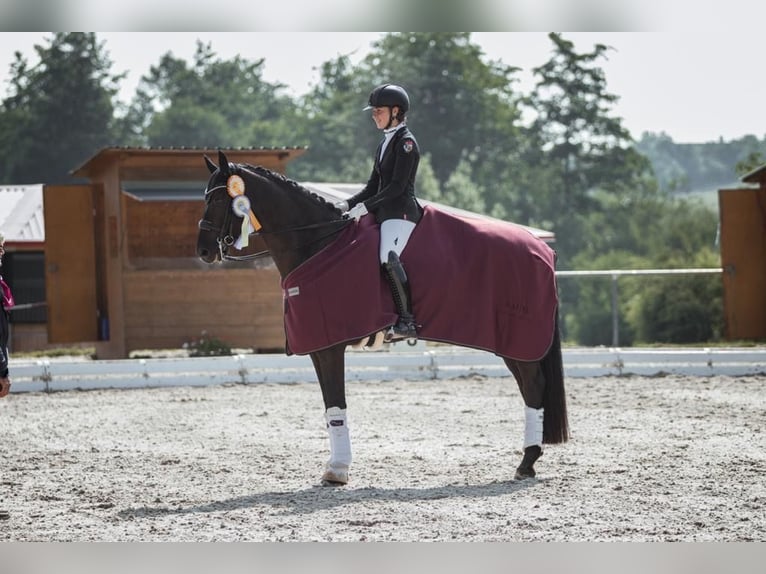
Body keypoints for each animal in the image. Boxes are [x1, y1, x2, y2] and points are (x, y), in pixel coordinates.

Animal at [198, 151, 568, 488]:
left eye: (217, 198)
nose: (203, 251)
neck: (318, 244)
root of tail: (544, 249)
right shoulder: (319, 347)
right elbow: (330, 407)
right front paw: (335, 467)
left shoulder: (329, 345)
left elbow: (336, 405)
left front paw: (337, 470)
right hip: (512, 343)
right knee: (530, 388)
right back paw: (527, 461)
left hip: (519, 338)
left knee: (533, 385)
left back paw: (527, 462)